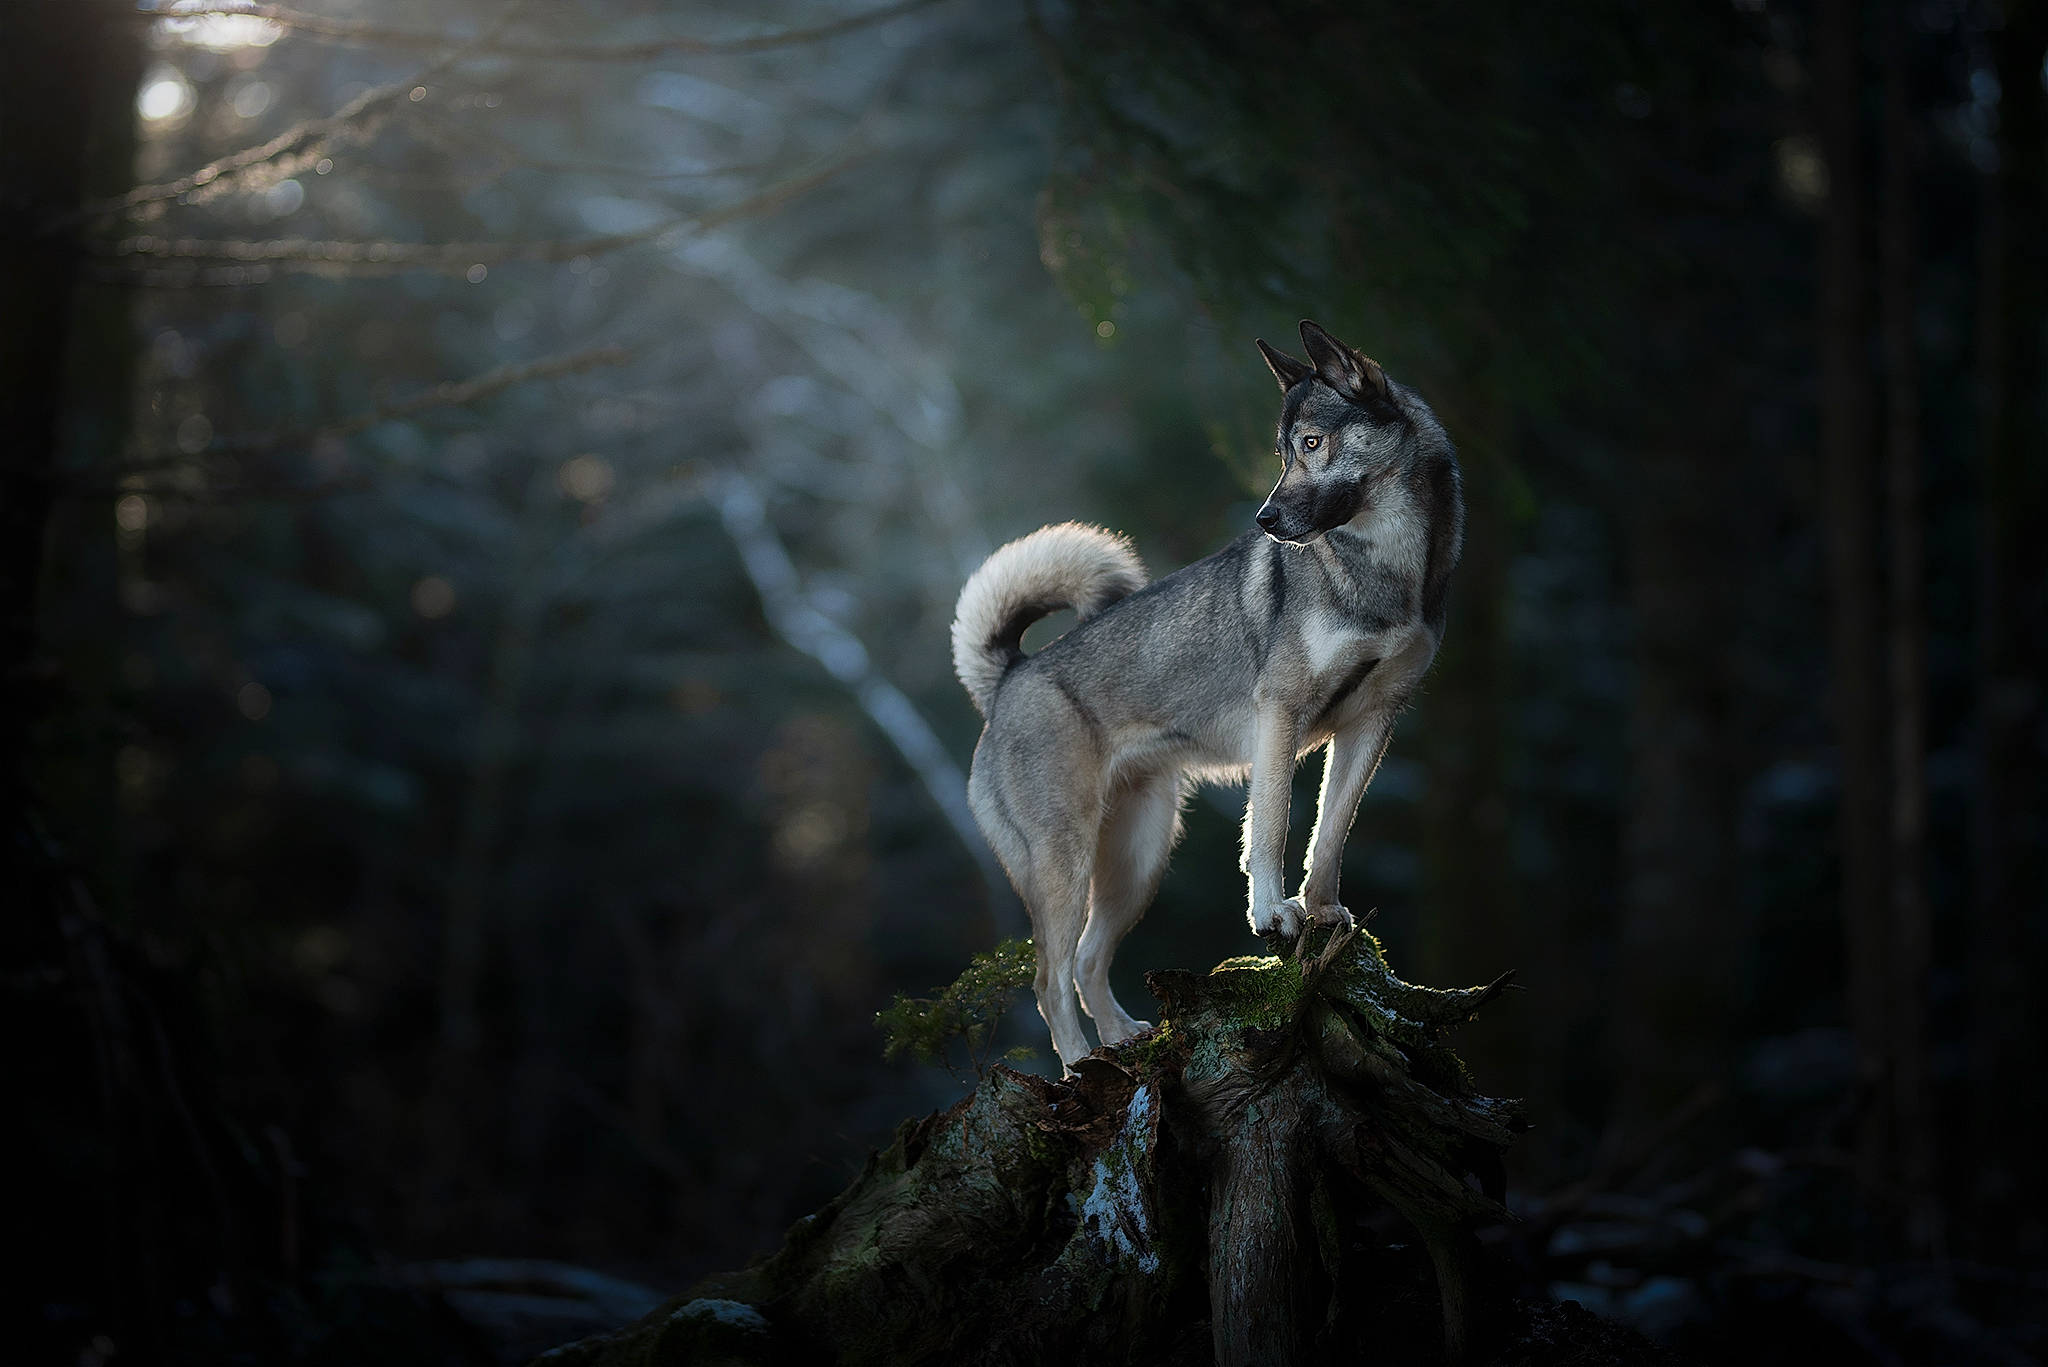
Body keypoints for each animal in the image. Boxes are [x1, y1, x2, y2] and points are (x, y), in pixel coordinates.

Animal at [950, 320, 1464, 1068]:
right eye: (1284, 450)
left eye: (1313, 442)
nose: (1266, 518)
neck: (1383, 568)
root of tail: (1009, 677)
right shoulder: (1280, 714)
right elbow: (1273, 825)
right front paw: (1273, 914)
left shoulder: (1373, 722)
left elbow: (1330, 832)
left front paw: (1322, 912)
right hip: (1065, 865)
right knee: (1049, 981)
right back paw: (1078, 1068)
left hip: (1138, 861)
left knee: (1087, 962)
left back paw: (1123, 1042)